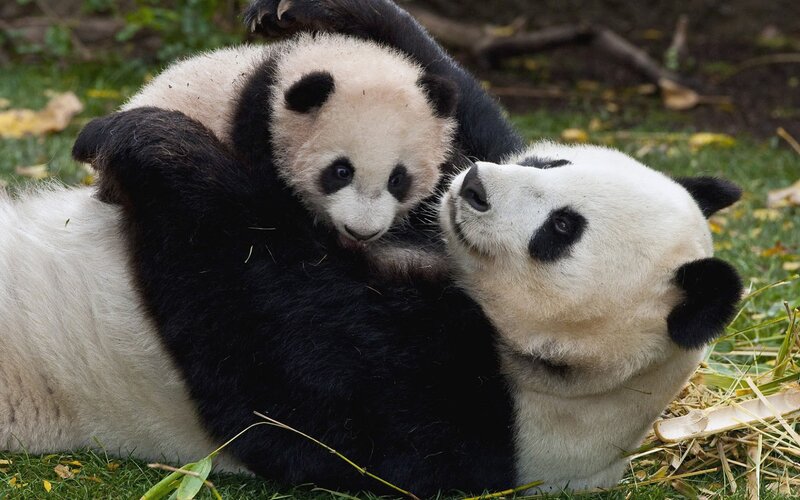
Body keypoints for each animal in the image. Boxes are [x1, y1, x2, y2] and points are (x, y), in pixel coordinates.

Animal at [53, 106, 740, 495]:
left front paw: (150, 142)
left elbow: (262, 331)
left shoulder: (453, 415)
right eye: (551, 162)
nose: (475, 185)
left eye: (562, 230)